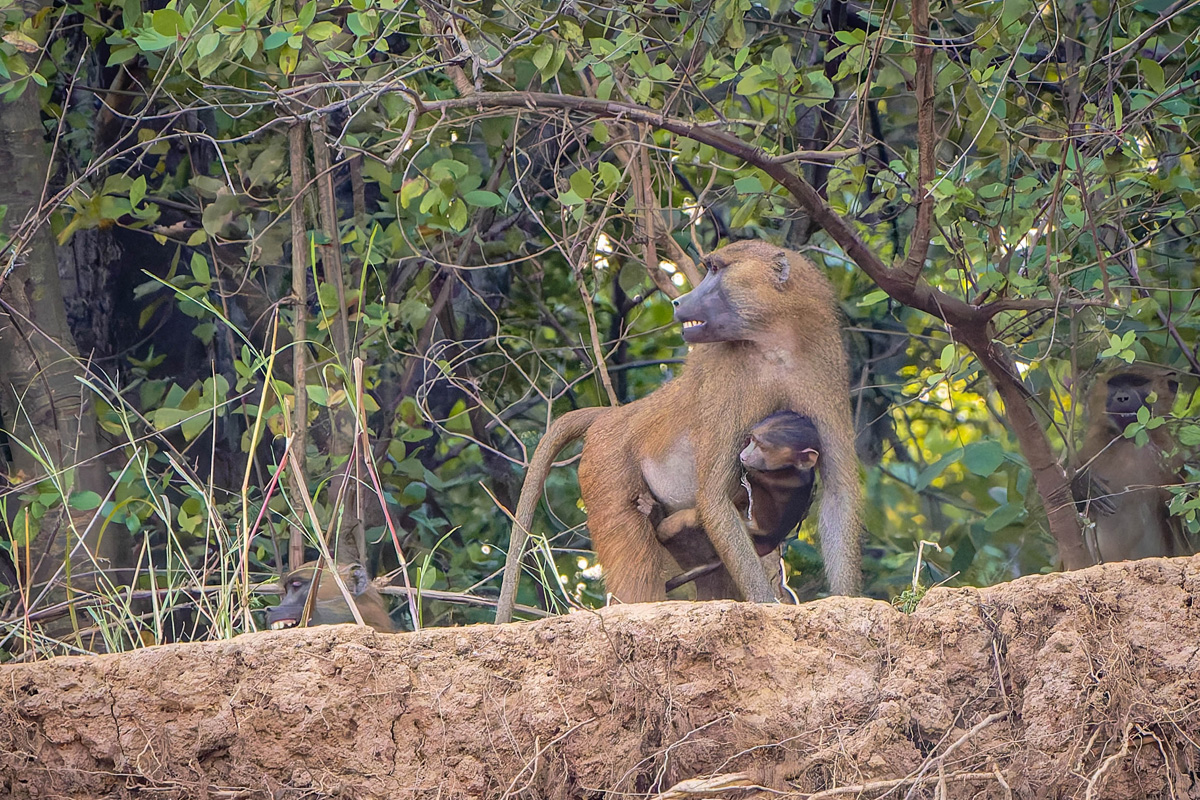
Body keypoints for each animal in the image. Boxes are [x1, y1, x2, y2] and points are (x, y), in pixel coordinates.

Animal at [495, 241, 861, 623]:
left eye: (716, 269)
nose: (678, 301)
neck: (773, 343)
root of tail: (620, 415)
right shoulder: (726, 381)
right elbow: (714, 496)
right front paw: (767, 605)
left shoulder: (822, 369)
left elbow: (838, 493)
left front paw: (845, 602)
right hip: (608, 466)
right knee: (637, 575)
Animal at [1073, 366, 1190, 563]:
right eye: (1115, 384)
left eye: (1137, 383)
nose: (1122, 397)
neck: (1130, 440)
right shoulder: (1092, 445)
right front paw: (1084, 483)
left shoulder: (1170, 455)